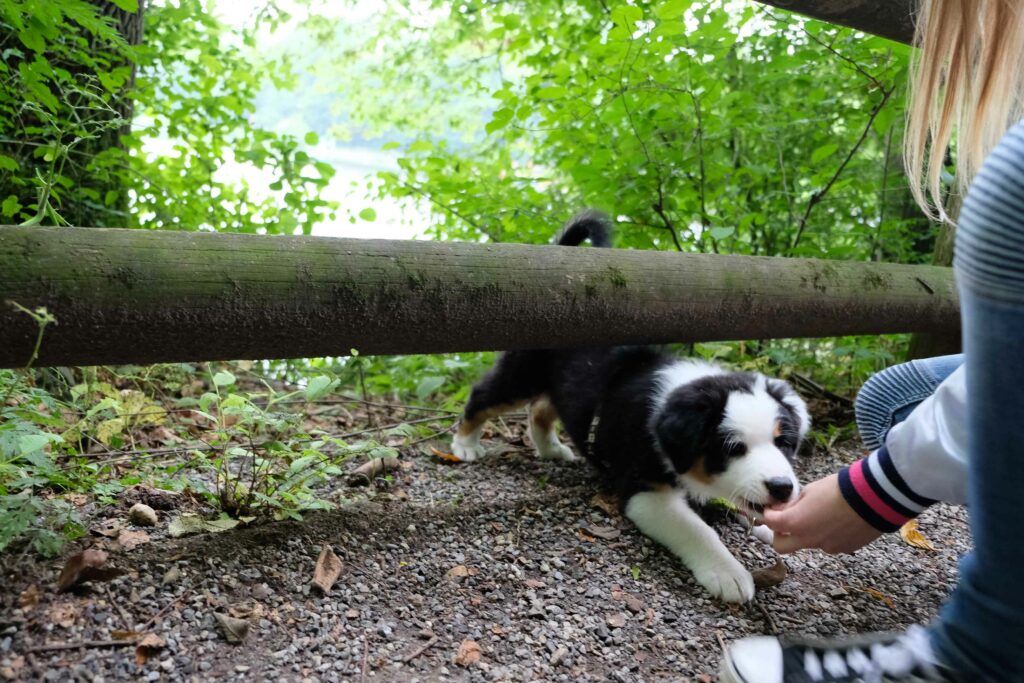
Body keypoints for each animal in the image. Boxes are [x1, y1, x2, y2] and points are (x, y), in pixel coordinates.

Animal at [452, 210, 811, 602]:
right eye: (733, 448)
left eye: (783, 443)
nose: (783, 488)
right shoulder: (645, 491)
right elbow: (697, 528)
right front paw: (727, 572)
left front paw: (772, 528)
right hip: (522, 373)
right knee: (484, 396)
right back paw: (465, 445)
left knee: (542, 409)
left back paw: (551, 449)